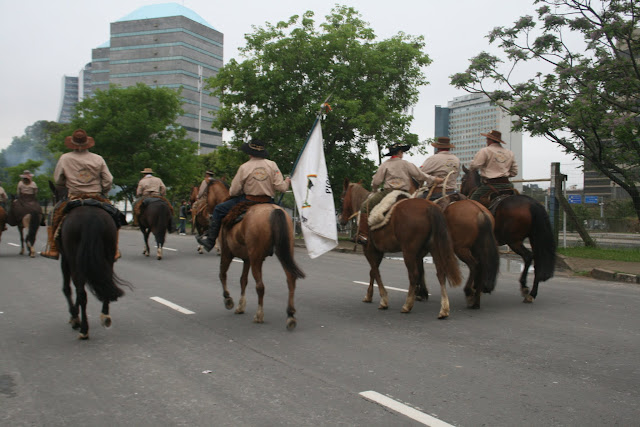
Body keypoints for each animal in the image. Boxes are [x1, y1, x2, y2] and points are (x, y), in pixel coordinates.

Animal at [219, 202, 306, 330]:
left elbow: (223, 274)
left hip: (256, 258)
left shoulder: (227, 253)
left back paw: (259, 315)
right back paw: (290, 315)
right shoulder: (247, 259)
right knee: (291, 279)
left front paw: (228, 299)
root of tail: (274, 209)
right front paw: (240, 306)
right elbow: (243, 280)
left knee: (260, 286)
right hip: (284, 251)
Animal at [340, 179, 460, 320]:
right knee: (441, 273)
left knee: (414, 275)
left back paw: (407, 305)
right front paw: (369, 295)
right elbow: (372, 272)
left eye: (342, 198)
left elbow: (375, 271)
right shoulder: (379, 251)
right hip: (434, 248)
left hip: (409, 252)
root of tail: (429, 207)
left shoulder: (369, 249)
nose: (341, 221)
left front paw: (383, 300)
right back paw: (444, 309)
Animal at [460, 166, 556, 302]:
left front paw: (477, 287)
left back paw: (524, 287)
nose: (461, 193)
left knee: (528, 256)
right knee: (536, 260)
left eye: (463, 179)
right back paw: (532, 293)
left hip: (513, 241)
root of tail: (532, 204)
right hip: (533, 238)